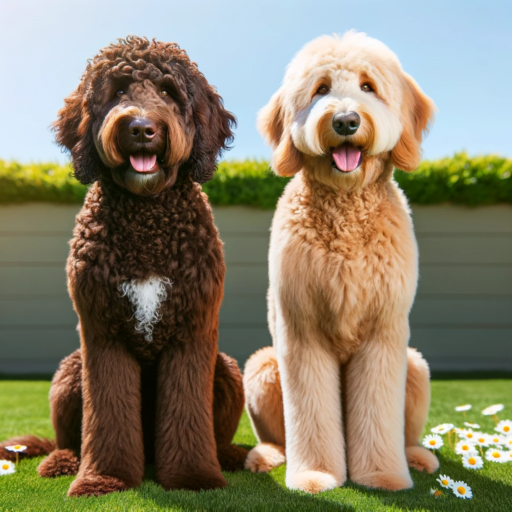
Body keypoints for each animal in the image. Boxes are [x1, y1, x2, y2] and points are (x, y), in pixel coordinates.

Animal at [0, 36, 248, 496]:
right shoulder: (103, 334)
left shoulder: (191, 332)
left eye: (169, 91)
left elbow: (188, 412)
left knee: (217, 432)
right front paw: (104, 479)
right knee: (68, 438)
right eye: (116, 91)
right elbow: (107, 415)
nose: (142, 128)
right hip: (70, 372)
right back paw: (63, 461)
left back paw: (230, 457)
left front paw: (193, 477)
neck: (145, 217)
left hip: (225, 369)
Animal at [244, 31, 440, 492]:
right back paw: (265, 456)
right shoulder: (301, 332)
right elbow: (310, 412)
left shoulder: (384, 334)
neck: (346, 207)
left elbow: (379, 408)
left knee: (407, 430)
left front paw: (383, 475)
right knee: (276, 434)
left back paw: (417, 457)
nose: (347, 121)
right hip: (262, 368)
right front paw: (314, 475)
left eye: (368, 86)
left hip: (415, 365)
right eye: (320, 89)